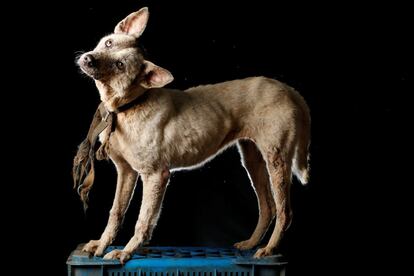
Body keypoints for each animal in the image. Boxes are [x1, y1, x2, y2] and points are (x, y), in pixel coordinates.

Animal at [77, 7, 310, 264]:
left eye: (120, 65)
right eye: (108, 43)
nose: (88, 59)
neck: (130, 105)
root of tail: (289, 90)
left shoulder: (156, 176)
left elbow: (143, 220)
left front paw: (126, 251)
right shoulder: (126, 172)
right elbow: (116, 212)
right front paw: (102, 243)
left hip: (277, 161)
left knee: (284, 211)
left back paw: (269, 249)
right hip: (252, 159)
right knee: (268, 207)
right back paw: (251, 243)